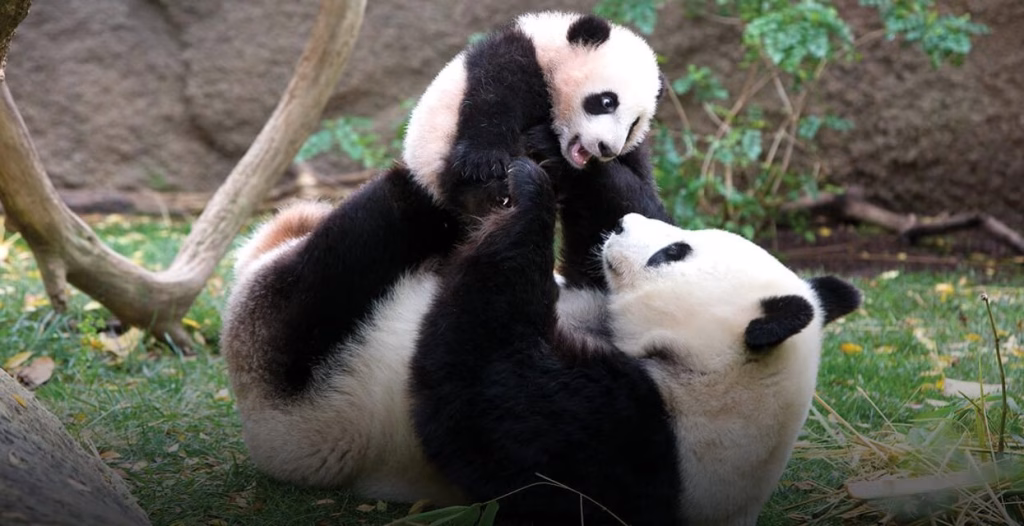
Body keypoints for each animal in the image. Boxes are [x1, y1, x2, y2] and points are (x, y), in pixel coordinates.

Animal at [402, 10, 664, 218]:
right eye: (607, 101)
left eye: (634, 125)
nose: (607, 149)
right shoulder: (516, 57)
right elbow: (493, 96)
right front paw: (485, 162)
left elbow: (642, 203)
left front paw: (544, 144)